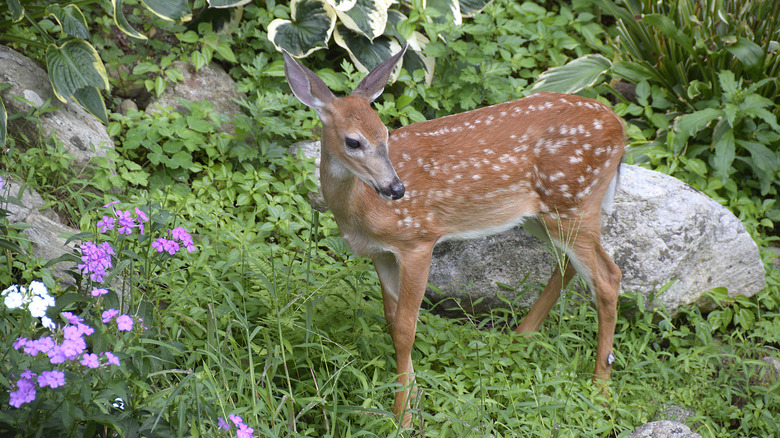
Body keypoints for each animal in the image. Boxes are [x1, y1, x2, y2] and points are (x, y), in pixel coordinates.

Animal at [284, 46, 624, 426]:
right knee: (571, 266)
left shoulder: (418, 239)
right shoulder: (381, 253)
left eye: (386, 134)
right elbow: (392, 319)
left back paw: (600, 387)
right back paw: (520, 337)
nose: (396, 189)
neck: (362, 210)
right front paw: (414, 398)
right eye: (353, 141)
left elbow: (405, 329)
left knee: (607, 277)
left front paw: (402, 418)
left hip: (573, 201)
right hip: (544, 213)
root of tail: (620, 127)